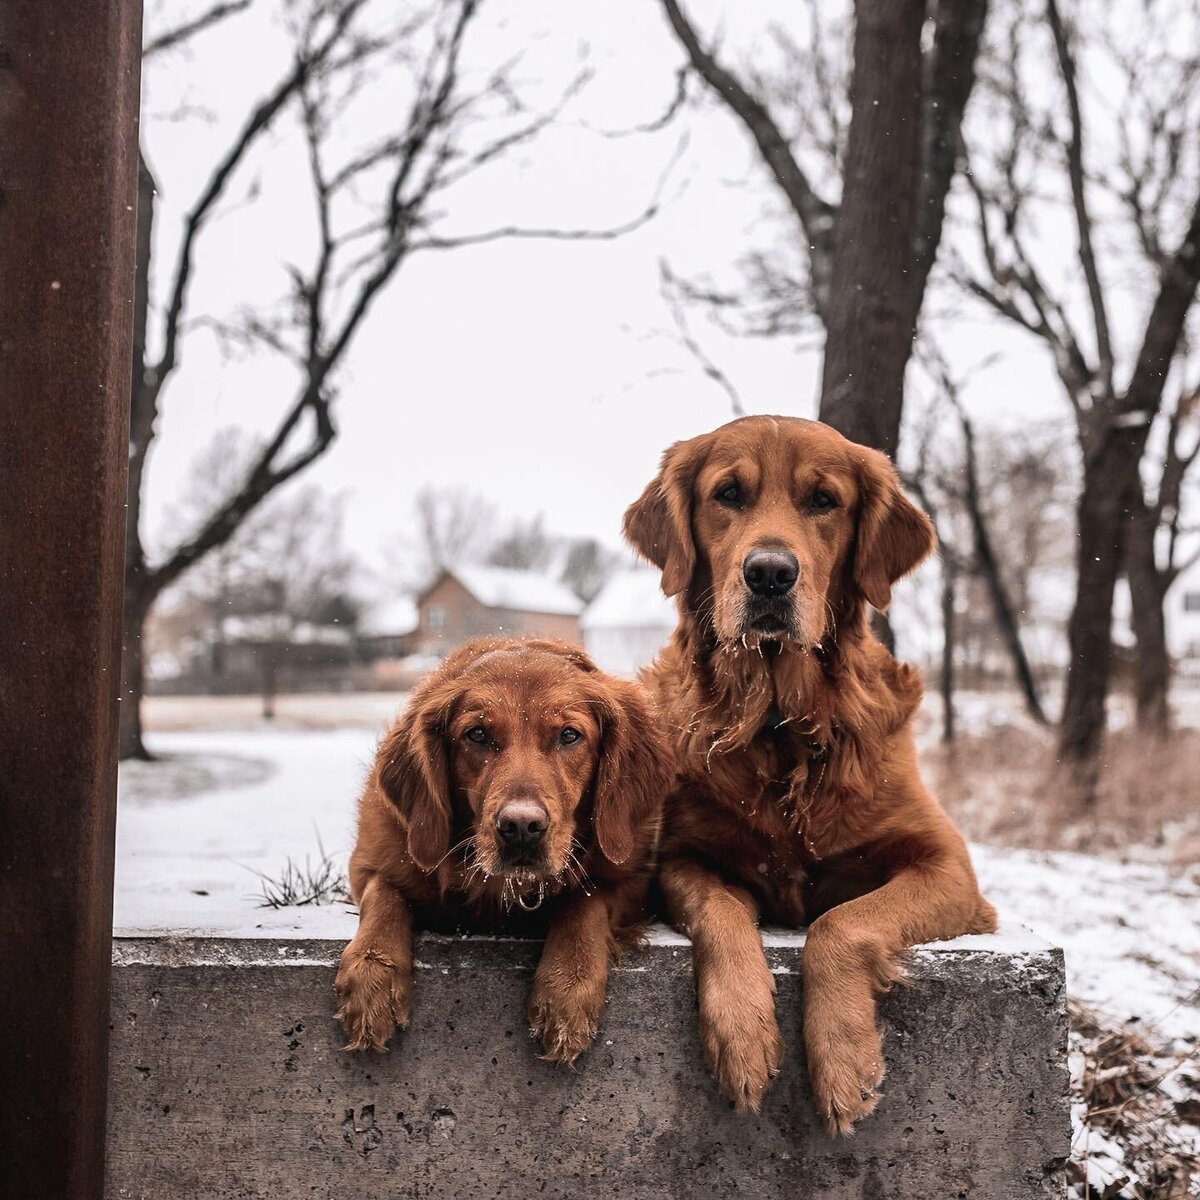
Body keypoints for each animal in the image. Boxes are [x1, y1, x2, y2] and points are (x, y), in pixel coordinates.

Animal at [338, 638, 672, 1060]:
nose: (521, 828)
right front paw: (371, 973)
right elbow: (384, 893)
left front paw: (568, 984)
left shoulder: (633, 881)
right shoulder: (369, 863)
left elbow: (585, 900)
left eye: (569, 735)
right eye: (477, 734)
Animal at [624, 415, 998, 1132]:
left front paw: (844, 1058)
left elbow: (842, 924)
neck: (778, 724)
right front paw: (742, 1033)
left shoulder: (948, 866)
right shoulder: (679, 857)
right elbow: (720, 912)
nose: (770, 574)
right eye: (728, 494)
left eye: (824, 501)